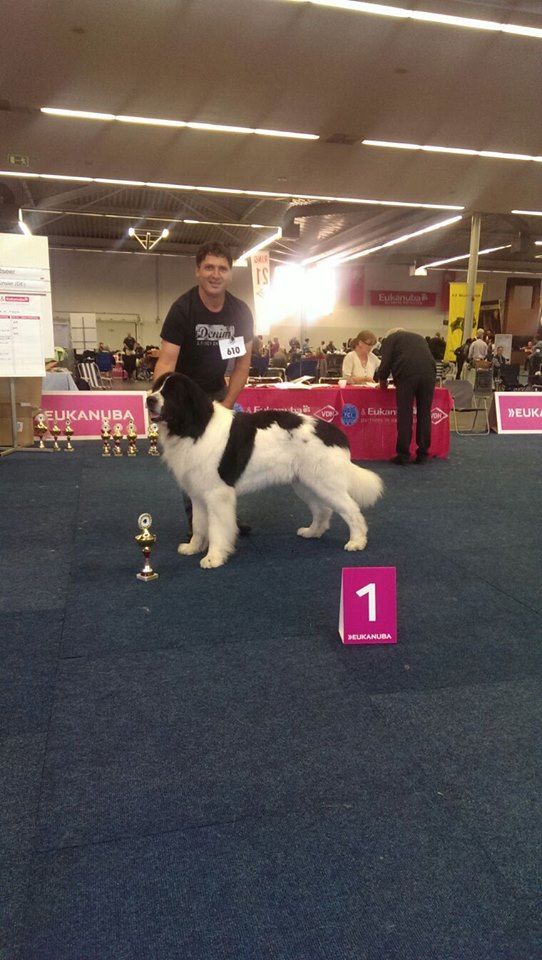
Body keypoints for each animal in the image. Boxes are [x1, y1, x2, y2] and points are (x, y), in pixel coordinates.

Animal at [147, 373, 383, 569]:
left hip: (325, 483)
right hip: (306, 483)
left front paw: (213, 557)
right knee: (323, 509)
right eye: (156, 387)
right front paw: (193, 547)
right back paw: (312, 532)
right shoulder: (198, 493)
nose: (149, 399)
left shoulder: (217, 493)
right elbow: (198, 524)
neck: (195, 427)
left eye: (171, 393)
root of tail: (335, 432)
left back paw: (357, 541)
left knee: (351, 510)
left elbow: (217, 528)